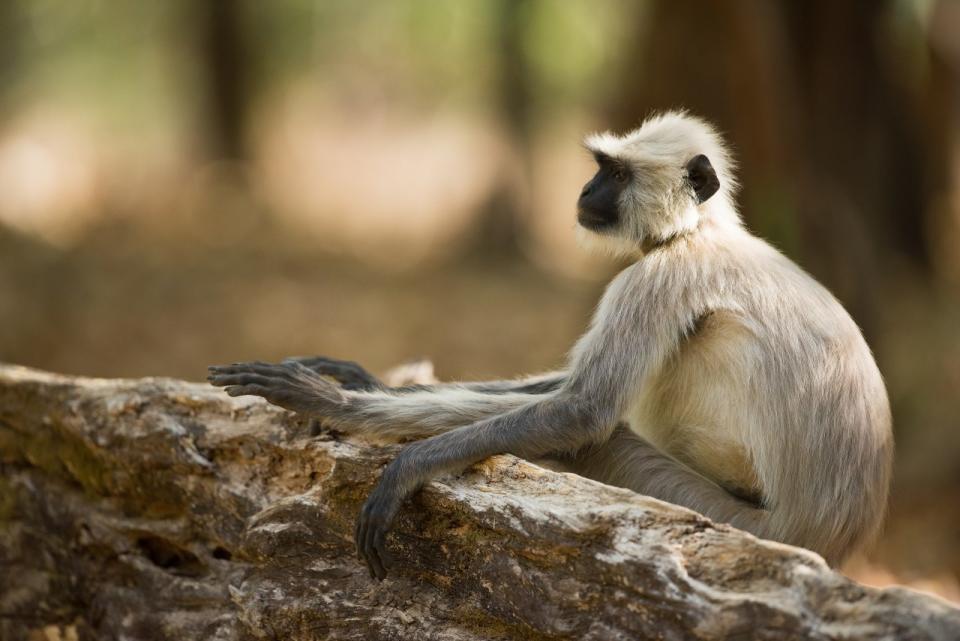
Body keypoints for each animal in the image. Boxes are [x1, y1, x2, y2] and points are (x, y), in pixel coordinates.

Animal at [208, 111, 892, 580]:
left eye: (615, 174)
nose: (585, 192)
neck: (697, 230)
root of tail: (832, 542)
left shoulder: (657, 277)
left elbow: (582, 410)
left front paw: (362, 426)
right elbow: (561, 392)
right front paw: (354, 379)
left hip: (728, 518)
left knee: (601, 435)